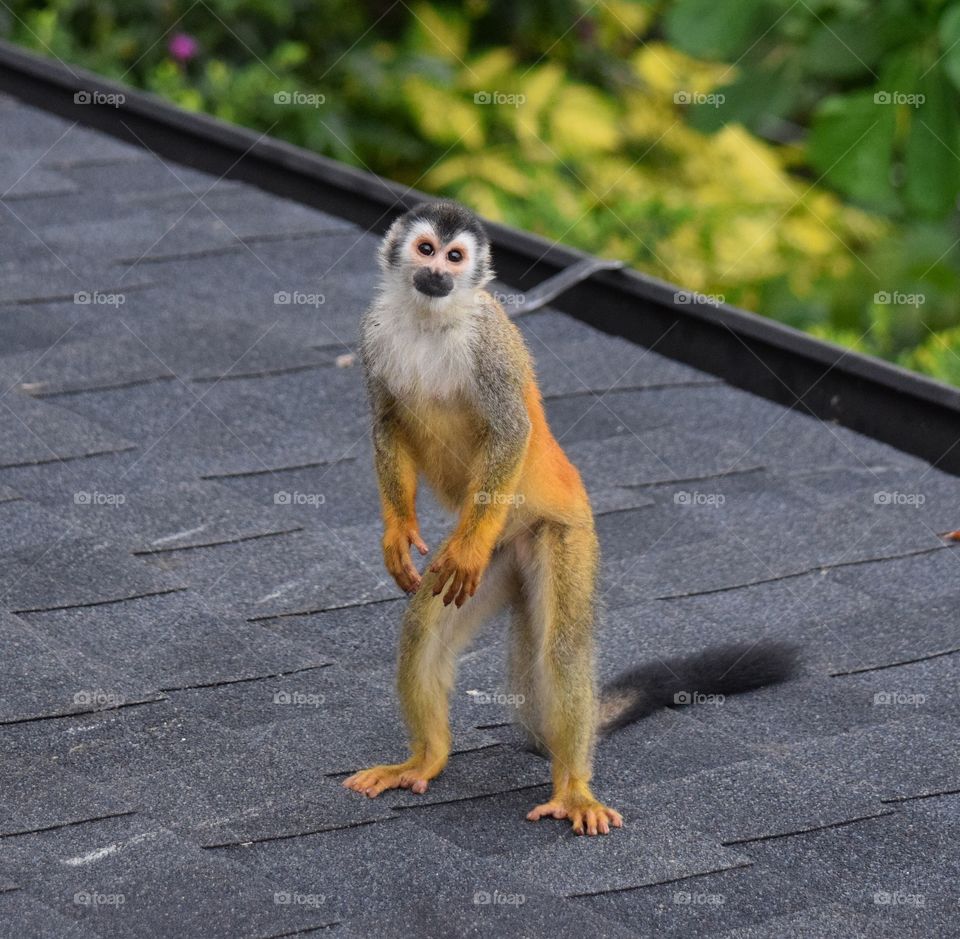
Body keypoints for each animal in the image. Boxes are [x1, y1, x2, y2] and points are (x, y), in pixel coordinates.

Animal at [344, 200, 796, 836]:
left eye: (456, 258)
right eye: (426, 250)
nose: (438, 275)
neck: (430, 317)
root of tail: (507, 543)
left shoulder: (490, 339)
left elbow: (511, 430)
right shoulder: (373, 331)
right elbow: (387, 421)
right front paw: (398, 531)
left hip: (558, 535)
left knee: (559, 648)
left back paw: (574, 787)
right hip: (500, 562)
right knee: (424, 633)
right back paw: (426, 758)